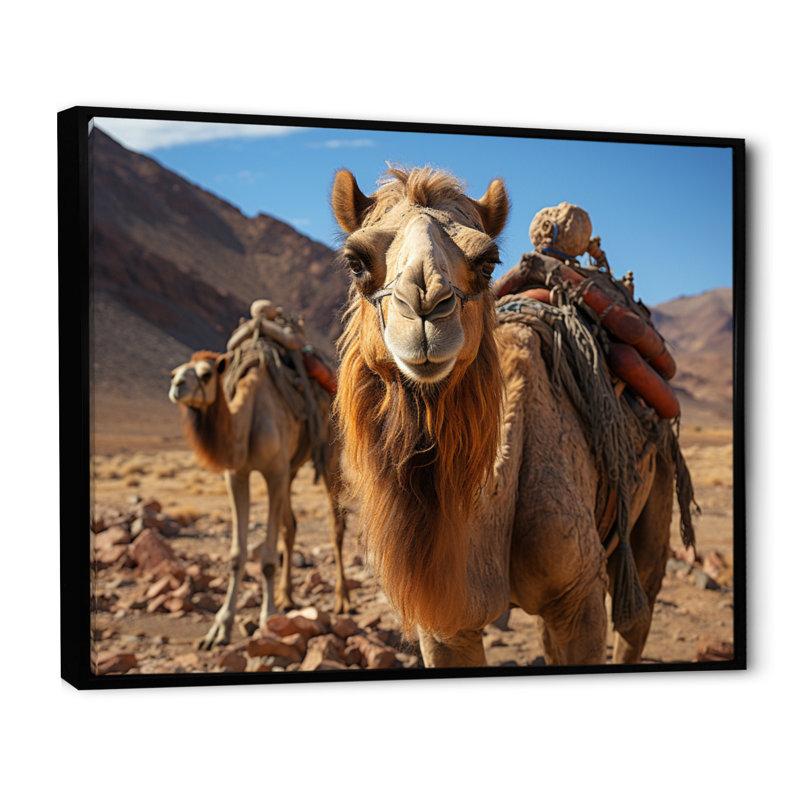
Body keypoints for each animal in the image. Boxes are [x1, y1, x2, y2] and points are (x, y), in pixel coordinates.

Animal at [168, 348, 350, 650]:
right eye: (175, 372)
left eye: (206, 375)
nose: (177, 386)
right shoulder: (236, 476)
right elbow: (236, 555)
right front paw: (219, 629)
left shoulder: (274, 472)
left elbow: (266, 556)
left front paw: (268, 619)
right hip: (291, 469)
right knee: (291, 526)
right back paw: (286, 597)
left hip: (330, 453)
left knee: (336, 526)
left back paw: (342, 600)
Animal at [331, 165, 689, 668]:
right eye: (356, 261)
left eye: (488, 262)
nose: (424, 308)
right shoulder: (445, 622)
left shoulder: (580, 597)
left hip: (655, 485)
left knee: (638, 610)